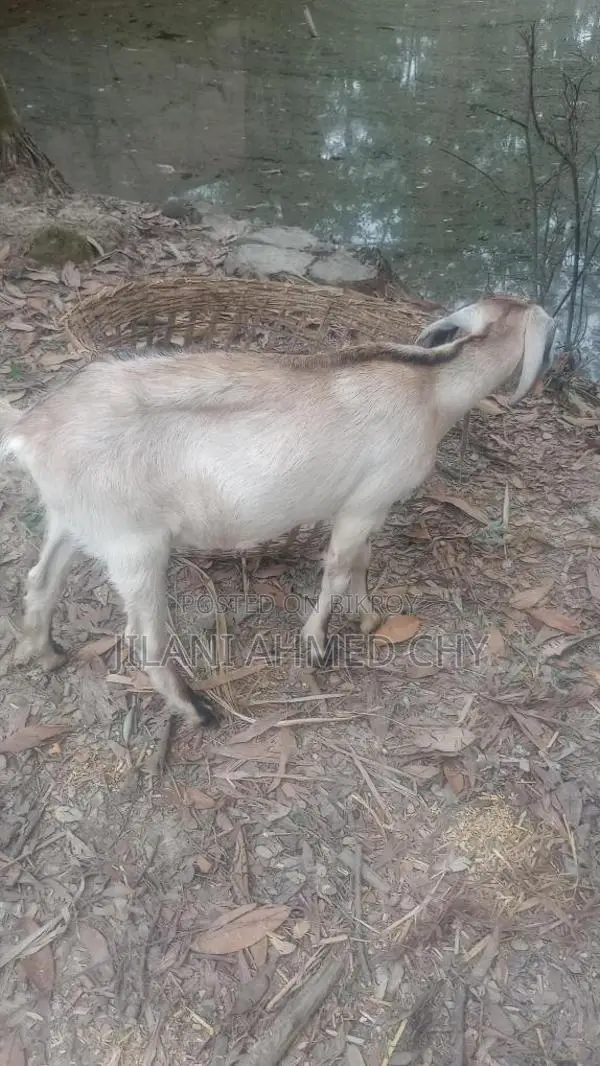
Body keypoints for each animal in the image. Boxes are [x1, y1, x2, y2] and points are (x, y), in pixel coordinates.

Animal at [0, 294, 556, 726]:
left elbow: (362, 561)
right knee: (143, 638)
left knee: (41, 579)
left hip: (74, 519)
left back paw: (45, 653)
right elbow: (338, 568)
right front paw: (316, 643)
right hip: (134, 545)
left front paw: (370, 617)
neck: (430, 388)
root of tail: (32, 429)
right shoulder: (366, 501)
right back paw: (195, 710)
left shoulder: (368, 506)